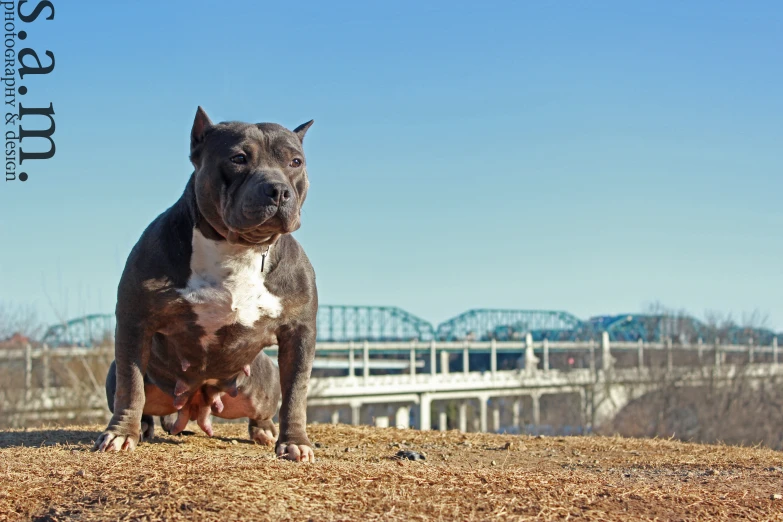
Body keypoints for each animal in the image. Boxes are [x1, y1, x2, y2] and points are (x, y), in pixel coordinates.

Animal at [95, 105, 318, 460]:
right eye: (238, 158)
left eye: (295, 161)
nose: (279, 189)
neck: (238, 249)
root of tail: (195, 402)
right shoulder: (134, 320)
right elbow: (130, 386)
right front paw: (120, 434)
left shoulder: (299, 332)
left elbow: (296, 392)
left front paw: (295, 441)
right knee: (141, 396)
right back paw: (142, 426)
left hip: (261, 382)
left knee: (263, 409)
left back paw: (265, 430)